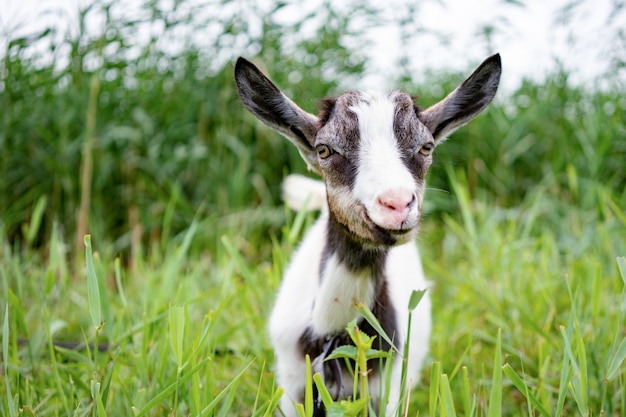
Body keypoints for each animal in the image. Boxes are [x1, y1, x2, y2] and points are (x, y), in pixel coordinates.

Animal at [232, 53, 500, 414]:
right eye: (324, 150)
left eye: (426, 147)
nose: (396, 203)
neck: (334, 336)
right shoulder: (290, 385)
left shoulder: (387, 388)